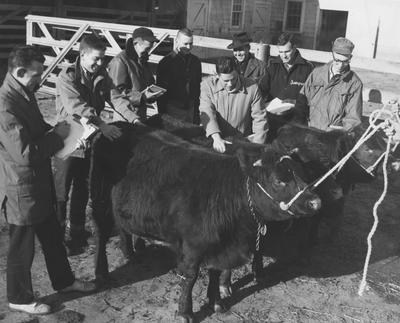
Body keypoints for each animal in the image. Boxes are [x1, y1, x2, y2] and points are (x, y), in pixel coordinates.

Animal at [89, 121, 320, 322]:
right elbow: (190, 277)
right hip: (100, 199)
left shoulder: (220, 246)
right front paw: (185, 312)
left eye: (302, 174)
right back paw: (101, 273)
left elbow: (215, 272)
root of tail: (116, 126)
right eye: (278, 180)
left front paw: (216, 302)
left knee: (122, 227)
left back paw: (129, 252)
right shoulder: (192, 245)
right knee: (101, 233)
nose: (315, 202)